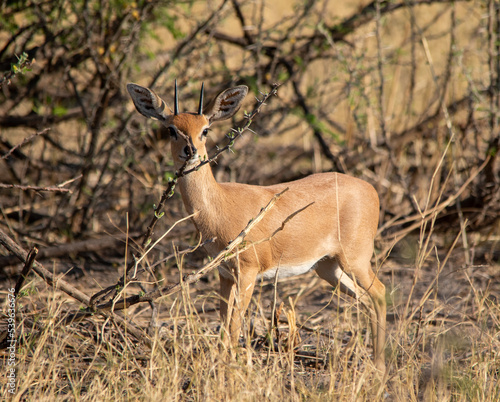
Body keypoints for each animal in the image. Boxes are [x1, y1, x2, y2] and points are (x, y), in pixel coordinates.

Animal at [128, 81, 386, 370]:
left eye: (205, 129)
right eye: (171, 129)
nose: (190, 151)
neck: (219, 206)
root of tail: (371, 189)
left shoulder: (248, 272)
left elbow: (233, 328)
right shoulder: (225, 274)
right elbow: (223, 326)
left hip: (355, 261)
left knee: (380, 293)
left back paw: (380, 365)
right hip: (327, 267)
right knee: (366, 300)